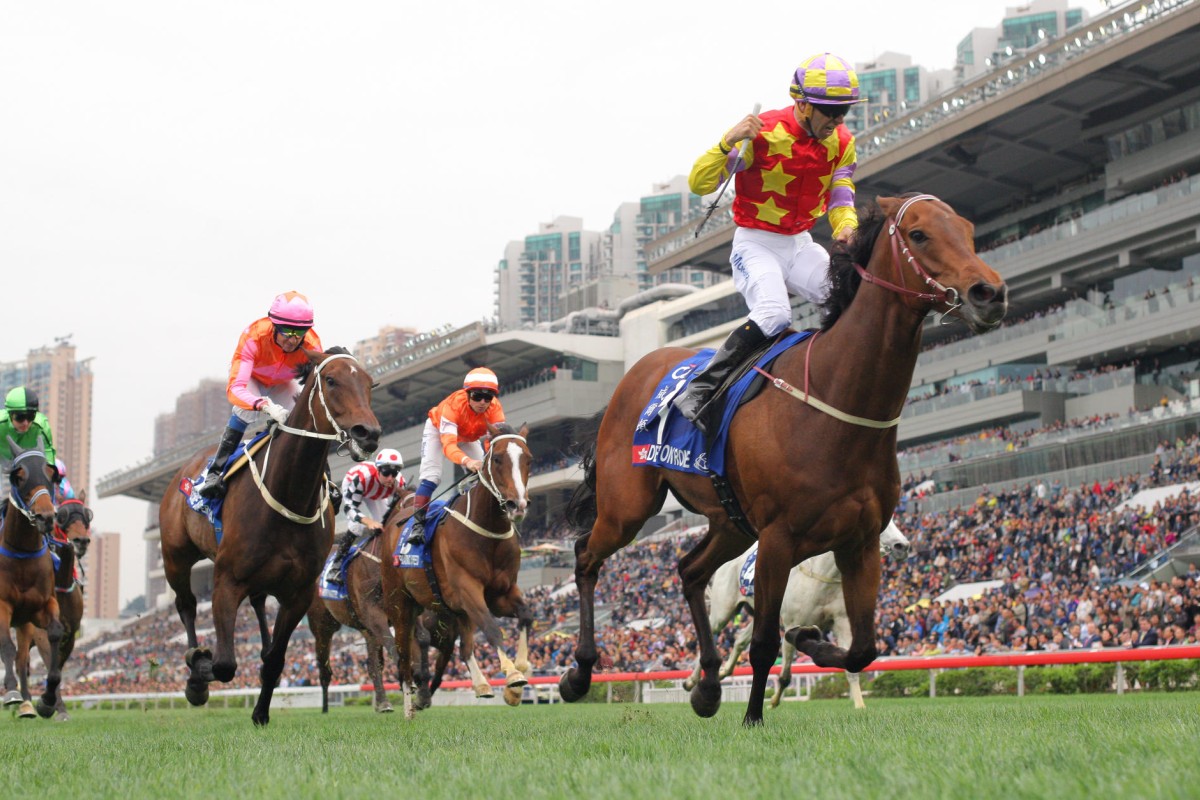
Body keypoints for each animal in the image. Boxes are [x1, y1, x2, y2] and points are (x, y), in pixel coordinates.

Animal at [16, 491, 92, 724]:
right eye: (62, 515)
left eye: (87, 515)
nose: (81, 540)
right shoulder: (41, 633)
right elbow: (50, 661)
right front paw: (50, 705)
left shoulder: (71, 635)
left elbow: (57, 667)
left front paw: (52, 704)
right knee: (20, 663)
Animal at [157, 347, 376, 724]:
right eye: (331, 380)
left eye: (369, 383)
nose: (368, 434)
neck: (289, 492)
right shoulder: (226, 581)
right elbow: (224, 664)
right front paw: (199, 671)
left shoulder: (299, 593)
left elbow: (275, 660)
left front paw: (260, 711)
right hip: (175, 557)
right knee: (186, 604)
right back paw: (195, 668)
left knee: (259, 604)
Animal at [381, 422, 537, 714]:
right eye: (497, 459)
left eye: (528, 459)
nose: (517, 505)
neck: (487, 531)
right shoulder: (467, 590)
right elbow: (492, 628)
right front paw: (512, 675)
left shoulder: (501, 593)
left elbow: (525, 615)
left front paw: (518, 677)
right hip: (399, 602)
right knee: (404, 653)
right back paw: (408, 705)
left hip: (450, 611)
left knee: (464, 648)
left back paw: (481, 685)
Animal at [556, 195, 1008, 724]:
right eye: (919, 235)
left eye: (969, 230)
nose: (990, 293)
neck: (836, 400)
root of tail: (637, 369)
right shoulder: (777, 539)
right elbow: (765, 643)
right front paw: (754, 716)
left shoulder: (860, 543)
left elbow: (863, 648)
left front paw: (809, 642)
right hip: (627, 508)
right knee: (586, 556)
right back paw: (580, 673)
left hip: (729, 524)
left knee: (689, 572)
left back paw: (707, 685)